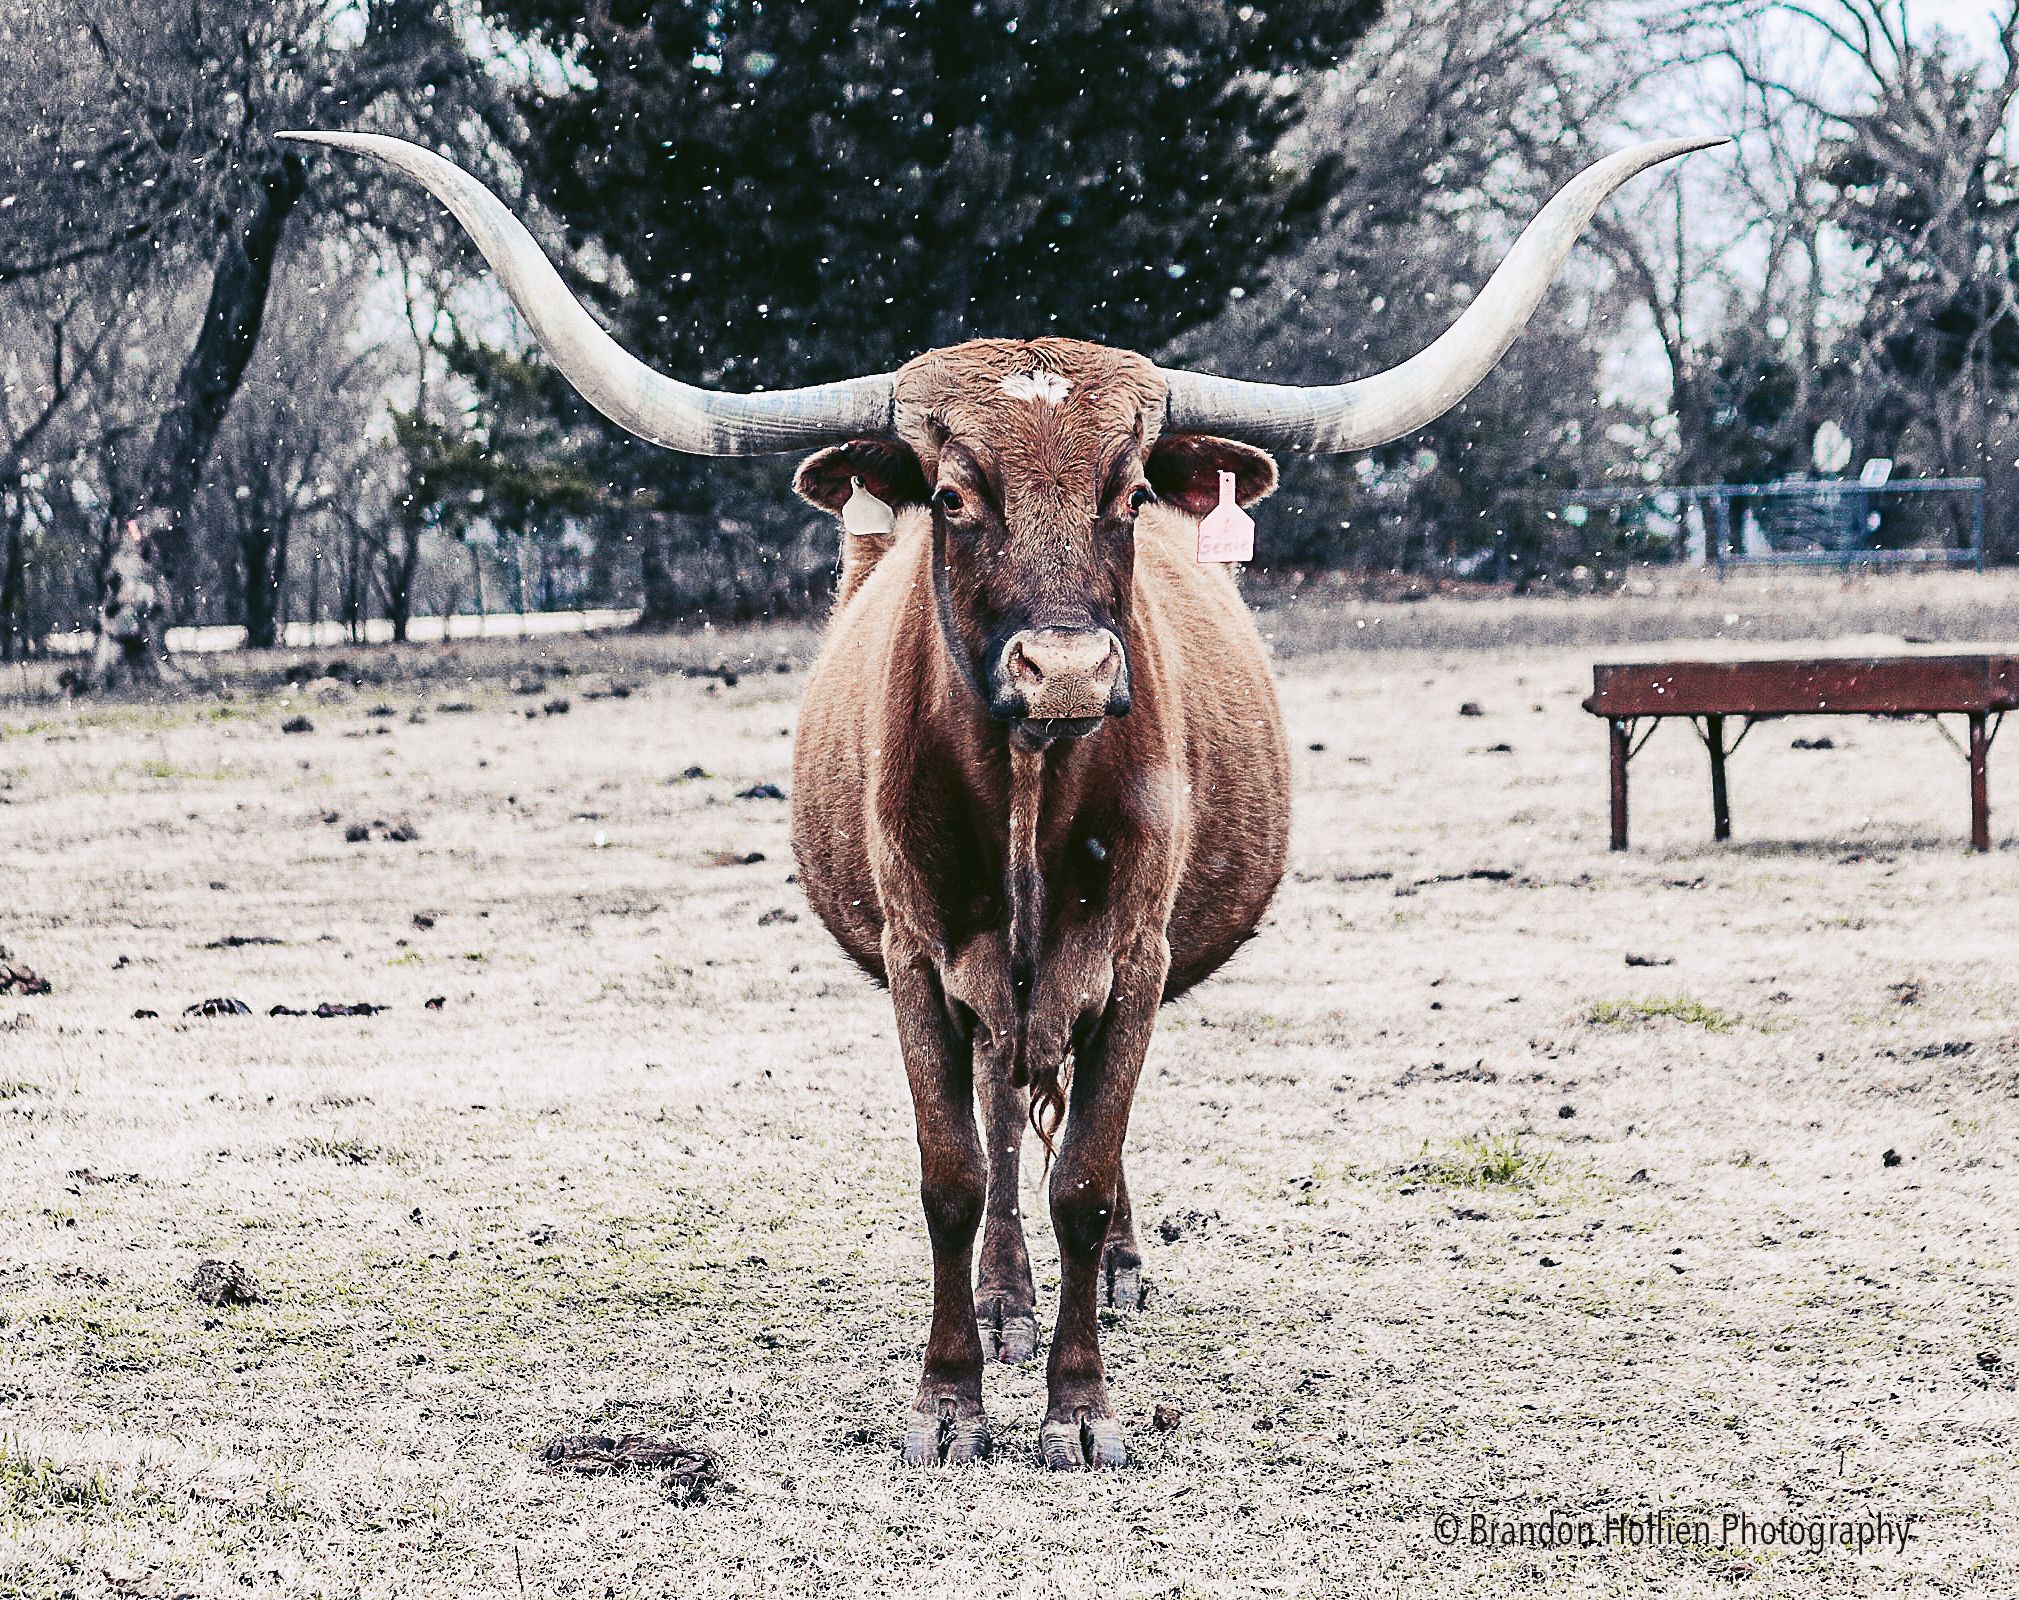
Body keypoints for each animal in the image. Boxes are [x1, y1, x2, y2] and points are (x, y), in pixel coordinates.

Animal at [288, 131, 1720, 1470]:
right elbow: (953, 1172)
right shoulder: (921, 957)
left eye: (1130, 489)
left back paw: (1107, 1276)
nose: (1069, 671)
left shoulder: (1132, 955)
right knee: (995, 1113)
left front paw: (1080, 1407)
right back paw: (1003, 1301)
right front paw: (951, 1398)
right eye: (953, 491)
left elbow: (1083, 1169)